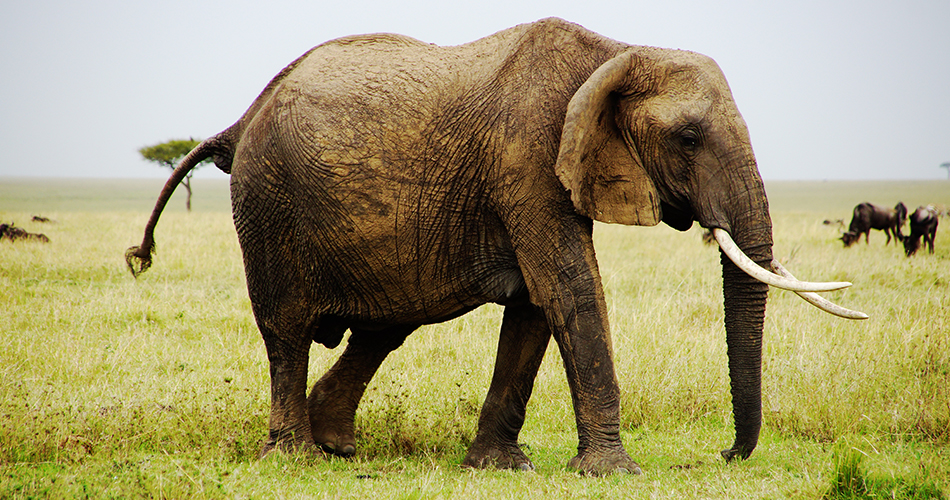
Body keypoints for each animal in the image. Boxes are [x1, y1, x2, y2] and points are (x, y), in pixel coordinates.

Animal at [126, 18, 864, 472]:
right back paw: (296, 457)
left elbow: (538, 305)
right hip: (268, 206)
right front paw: (613, 471)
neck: (613, 52)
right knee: (286, 330)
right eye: (687, 139)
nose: (724, 456)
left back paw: (337, 446)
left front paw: (499, 467)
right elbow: (569, 287)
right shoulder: (527, 157)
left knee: (380, 330)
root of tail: (241, 118)